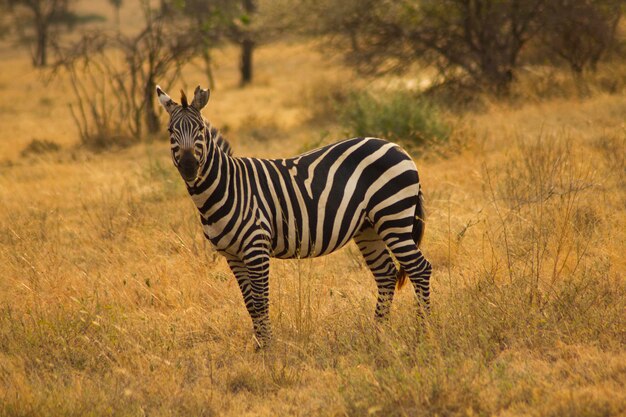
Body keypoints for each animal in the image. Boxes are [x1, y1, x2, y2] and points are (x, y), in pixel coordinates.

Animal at [157, 84, 428, 348]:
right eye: (170, 131)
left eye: (201, 129)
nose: (189, 167)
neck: (227, 186)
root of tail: (396, 147)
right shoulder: (232, 255)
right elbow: (249, 304)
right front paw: (259, 347)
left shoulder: (256, 247)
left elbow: (260, 301)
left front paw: (268, 349)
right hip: (369, 228)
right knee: (386, 274)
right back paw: (377, 334)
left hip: (393, 215)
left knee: (419, 268)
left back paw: (422, 332)